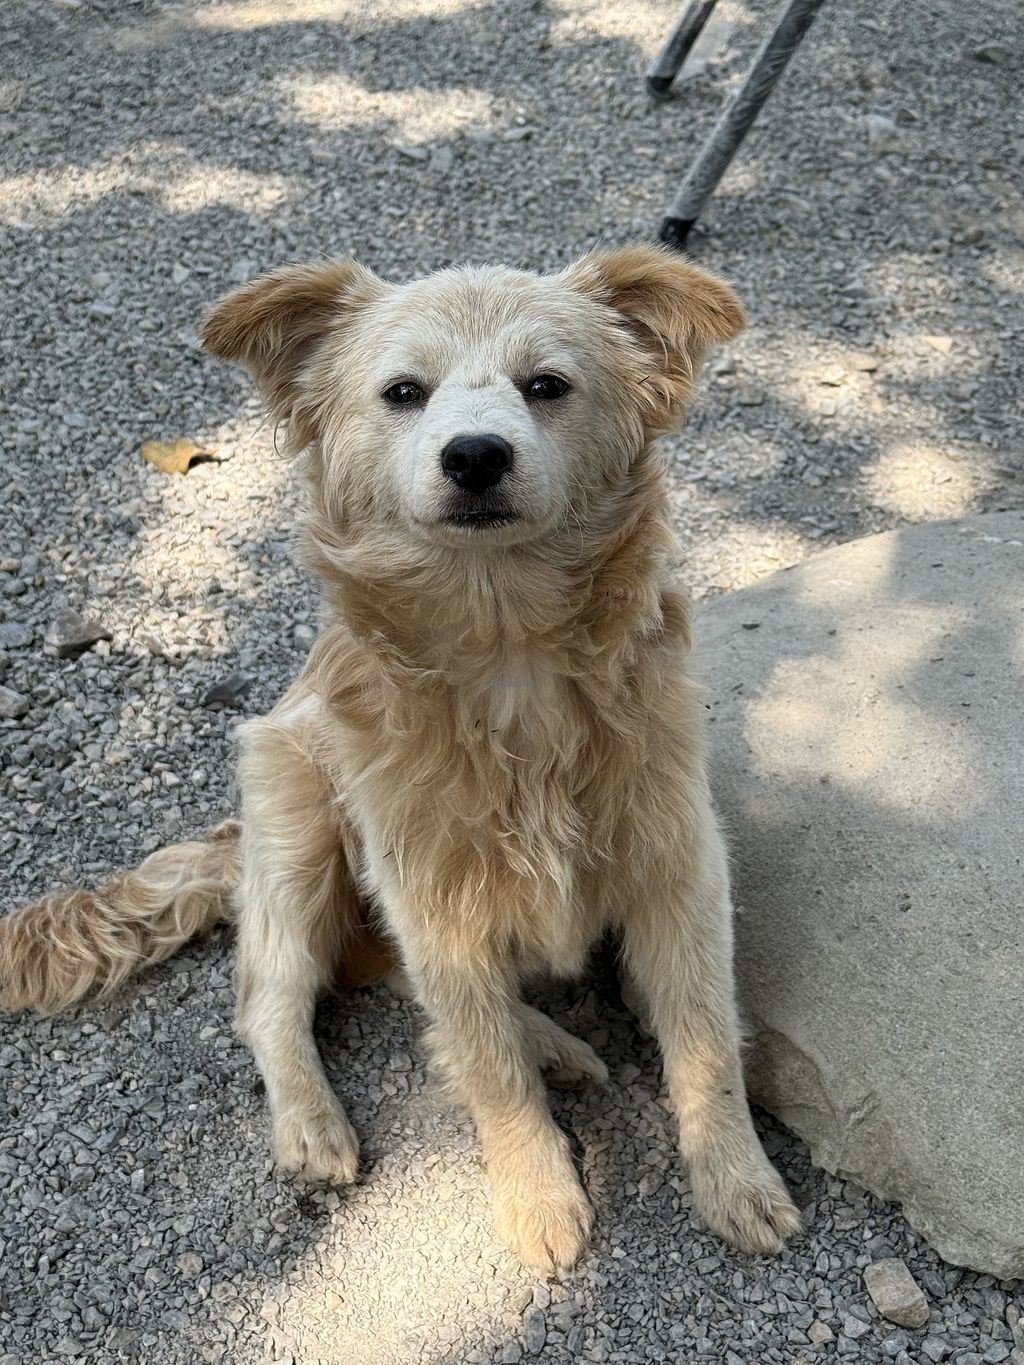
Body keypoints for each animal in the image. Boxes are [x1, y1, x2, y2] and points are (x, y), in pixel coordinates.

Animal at [0, 245, 800, 1271]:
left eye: (547, 385)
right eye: (404, 392)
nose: (475, 455)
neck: (506, 652)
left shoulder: (676, 859)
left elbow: (703, 1038)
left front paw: (738, 1180)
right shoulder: (432, 891)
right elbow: (487, 1066)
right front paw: (539, 1195)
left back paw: (553, 1042)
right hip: (297, 827)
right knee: (274, 999)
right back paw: (318, 1121)